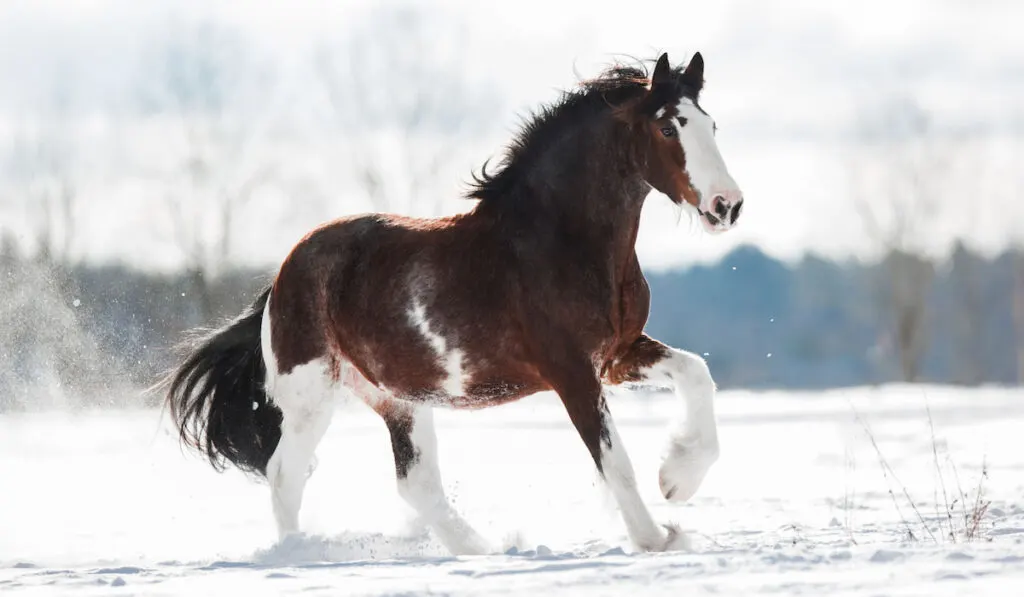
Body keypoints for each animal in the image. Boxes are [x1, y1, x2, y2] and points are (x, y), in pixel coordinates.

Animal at [165, 51, 745, 557]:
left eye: (713, 125)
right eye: (668, 128)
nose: (728, 206)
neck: (561, 240)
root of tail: (281, 278)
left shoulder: (616, 355)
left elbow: (696, 374)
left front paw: (677, 478)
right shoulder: (572, 371)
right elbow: (614, 460)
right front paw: (658, 537)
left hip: (398, 398)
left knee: (415, 483)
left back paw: (485, 549)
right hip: (312, 393)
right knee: (286, 472)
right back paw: (300, 555)